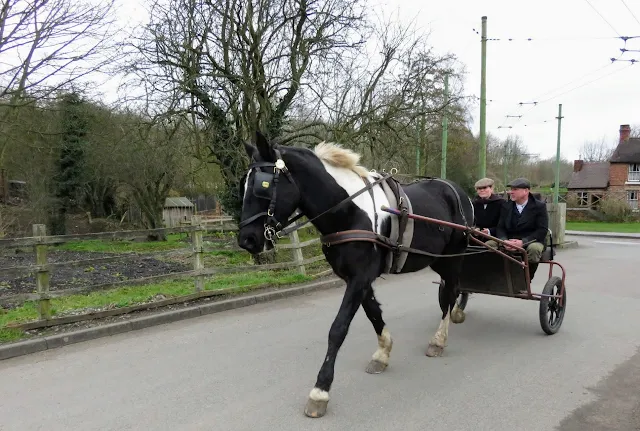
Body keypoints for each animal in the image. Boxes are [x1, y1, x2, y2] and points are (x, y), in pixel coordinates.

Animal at [236, 132, 476, 418]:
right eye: (243, 185)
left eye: (262, 185)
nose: (246, 240)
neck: (350, 212)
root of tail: (457, 191)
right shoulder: (357, 278)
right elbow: (373, 313)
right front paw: (382, 354)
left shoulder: (359, 278)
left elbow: (338, 329)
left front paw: (320, 391)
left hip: (452, 259)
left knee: (449, 294)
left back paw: (439, 340)